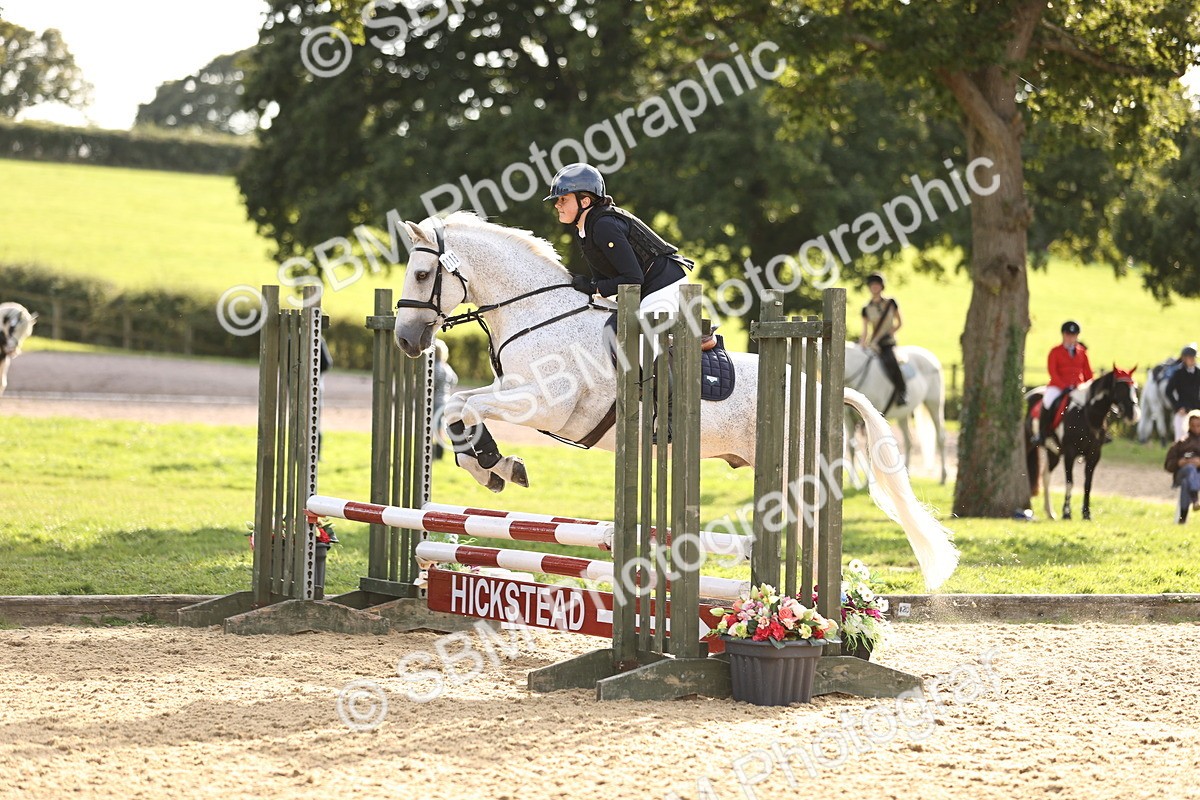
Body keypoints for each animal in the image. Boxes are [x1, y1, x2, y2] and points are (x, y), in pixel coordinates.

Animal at [842, 343, 948, 484]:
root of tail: (931, 357)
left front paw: (868, 482)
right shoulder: (849, 419)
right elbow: (852, 446)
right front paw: (852, 480)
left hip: (934, 406)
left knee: (941, 438)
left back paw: (943, 476)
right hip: (904, 415)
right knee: (909, 441)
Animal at [1024, 367, 1140, 521]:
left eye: (1135, 388)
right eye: (1120, 389)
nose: (1134, 414)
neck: (1087, 415)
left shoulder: (1094, 455)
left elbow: (1088, 484)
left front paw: (1086, 513)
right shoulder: (1069, 453)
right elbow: (1069, 483)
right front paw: (1067, 513)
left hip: (1053, 452)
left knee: (1046, 477)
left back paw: (1050, 512)